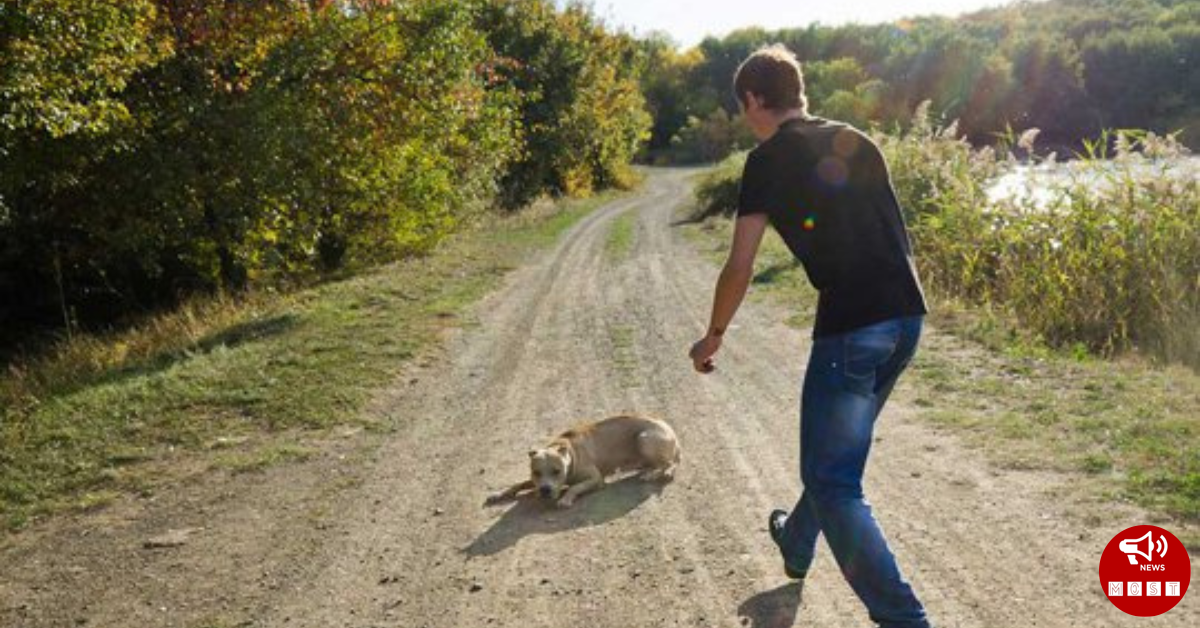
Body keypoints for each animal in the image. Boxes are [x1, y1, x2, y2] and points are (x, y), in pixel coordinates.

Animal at [482, 415, 681, 509]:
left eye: (557, 471)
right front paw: (499, 493)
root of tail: (670, 429)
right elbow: (517, 484)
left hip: (644, 437)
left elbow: (574, 487)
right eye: (536, 473)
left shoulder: (595, 479)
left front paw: (565, 498)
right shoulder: (533, 480)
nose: (545, 490)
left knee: (670, 463)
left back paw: (656, 473)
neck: (567, 450)